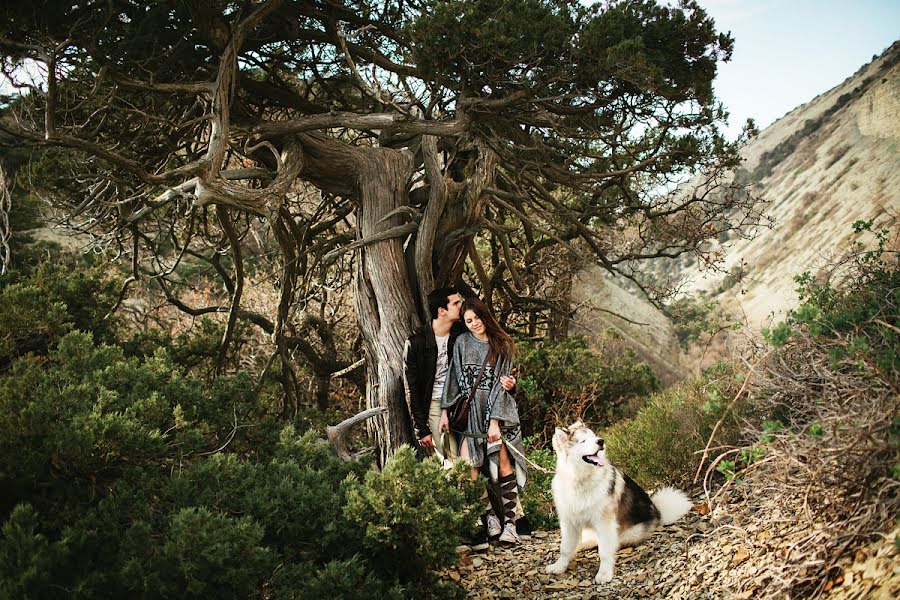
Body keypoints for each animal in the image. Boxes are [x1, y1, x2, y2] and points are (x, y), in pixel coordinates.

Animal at [544, 420, 692, 584]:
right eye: (583, 441)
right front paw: (559, 566)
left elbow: (604, 551)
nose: (601, 441)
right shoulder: (568, 522)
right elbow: (565, 548)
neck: (581, 480)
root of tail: (658, 512)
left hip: (627, 534)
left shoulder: (604, 523)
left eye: (594, 436)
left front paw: (604, 574)